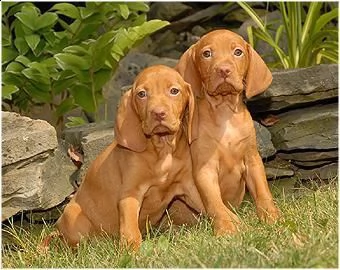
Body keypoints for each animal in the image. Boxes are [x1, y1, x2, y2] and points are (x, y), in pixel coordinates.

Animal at [56, 65, 205, 249]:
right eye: (142, 94)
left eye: (174, 91)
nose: (158, 113)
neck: (162, 150)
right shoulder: (130, 194)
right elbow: (130, 230)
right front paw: (132, 251)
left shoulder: (188, 186)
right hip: (73, 217)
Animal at [174, 29, 280, 235]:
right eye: (207, 54)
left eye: (238, 52)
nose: (224, 70)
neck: (224, 111)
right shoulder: (204, 169)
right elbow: (214, 202)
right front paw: (226, 226)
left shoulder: (252, 160)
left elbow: (263, 191)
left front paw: (271, 215)